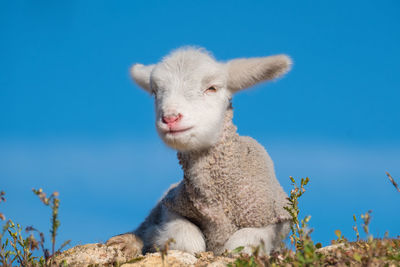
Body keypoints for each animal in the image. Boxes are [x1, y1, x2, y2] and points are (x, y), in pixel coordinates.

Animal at [105, 47, 294, 256]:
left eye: (212, 88)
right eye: (155, 92)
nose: (170, 118)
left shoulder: (275, 219)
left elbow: (240, 245)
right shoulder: (171, 206)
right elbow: (188, 240)